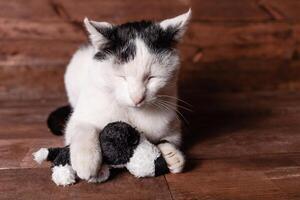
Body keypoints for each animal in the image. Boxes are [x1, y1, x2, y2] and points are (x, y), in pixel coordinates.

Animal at [63, 9, 191, 181]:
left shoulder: (173, 124)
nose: (137, 98)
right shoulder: (80, 118)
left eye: (152, 77)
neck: (132, 112)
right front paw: (87, 162)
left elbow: (169, 139)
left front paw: (173, 155)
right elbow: (84, 127)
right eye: (122, 77)